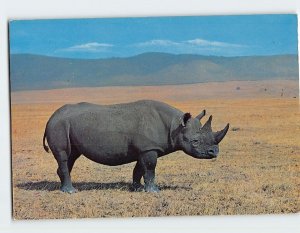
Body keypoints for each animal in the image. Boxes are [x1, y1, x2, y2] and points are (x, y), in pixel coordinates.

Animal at [42, 100, 230, 193]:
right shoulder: (148, 148)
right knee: (64, 156)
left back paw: (64, 188)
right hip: (59, 125)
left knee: (71, 157)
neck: (175, 125)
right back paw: (71, 191)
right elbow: (150, 168)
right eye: (195, 141)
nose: (214, 152)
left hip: (65, 125)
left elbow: (139, 169)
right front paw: (154, 191)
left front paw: (137, 188)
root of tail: (51, 117)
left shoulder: (145, 148)